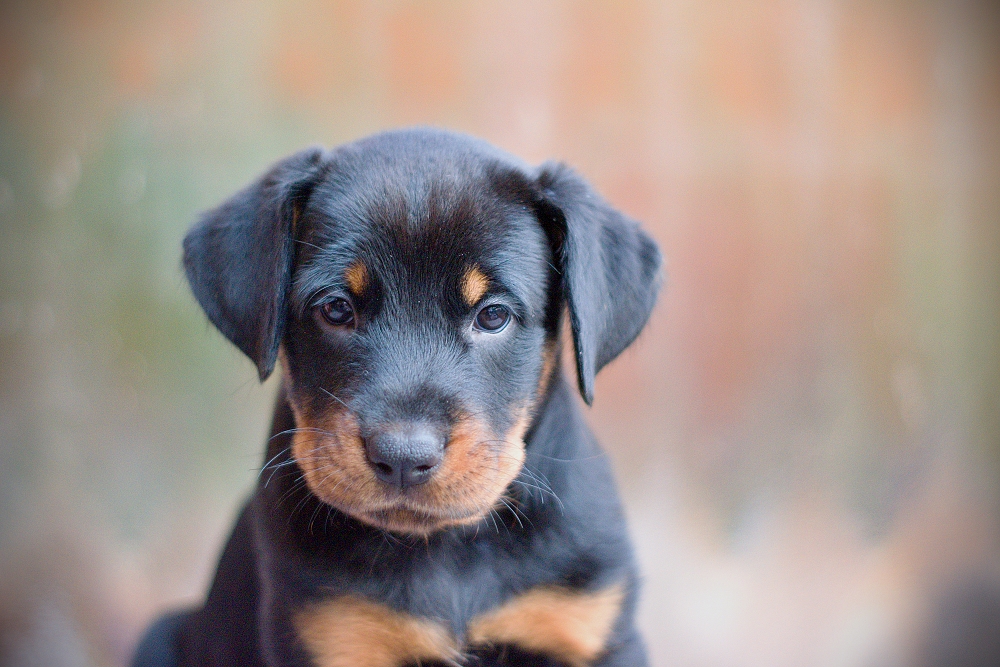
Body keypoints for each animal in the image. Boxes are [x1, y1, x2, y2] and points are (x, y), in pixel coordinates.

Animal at [133, 126, 664, 667]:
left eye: (493, 315)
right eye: (336, 308)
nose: (403, 457)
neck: (446, 550)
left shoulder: (589, 625)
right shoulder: (333, 633)